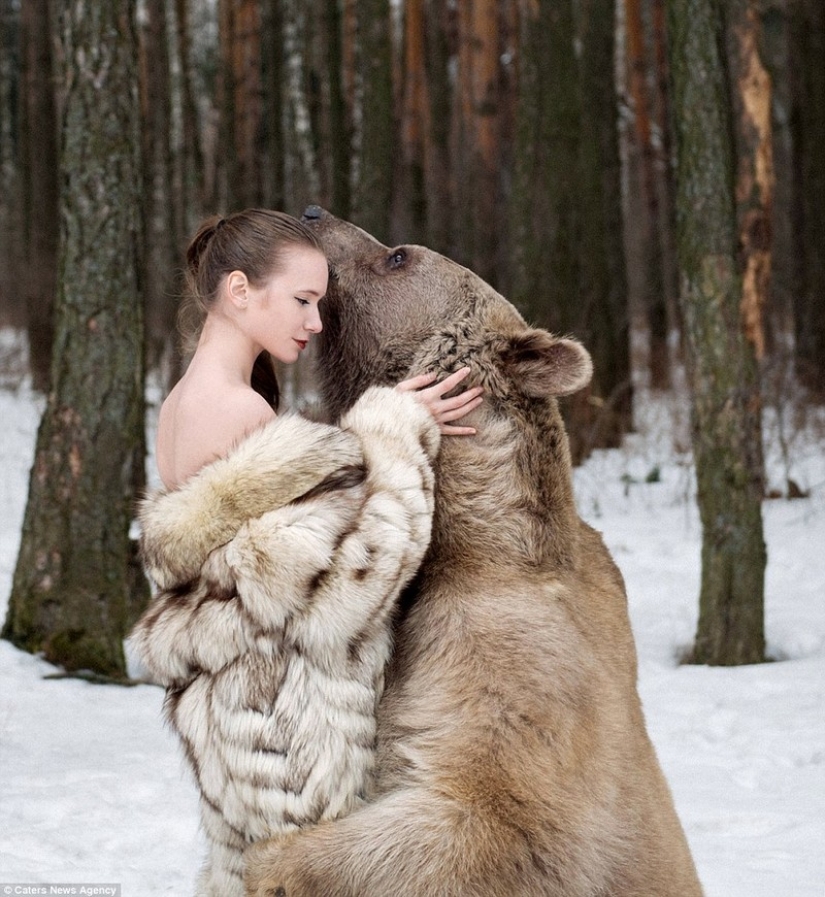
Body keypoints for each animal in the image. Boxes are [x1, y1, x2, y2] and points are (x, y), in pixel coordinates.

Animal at [244, 206, 704, 897]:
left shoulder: (513, 679)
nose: (315, 213)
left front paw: (269, 860)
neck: (468, 540)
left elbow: (476, 817)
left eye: (399, 255)